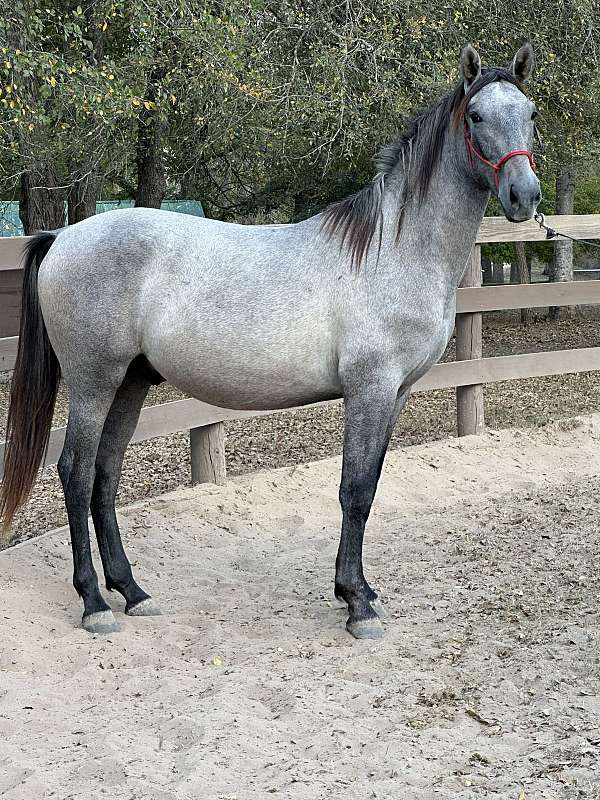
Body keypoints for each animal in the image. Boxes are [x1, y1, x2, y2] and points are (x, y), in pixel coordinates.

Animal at [1, 44, 541, 639]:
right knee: (75, 473)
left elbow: (371, 485)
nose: (524, 196)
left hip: (131, 382)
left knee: (104, 475)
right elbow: (354, 490)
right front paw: (356, 604)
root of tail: (62, 237)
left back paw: (133, 591)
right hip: (94, 380)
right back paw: (95, 603)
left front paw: (361, 590)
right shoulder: (370, 389)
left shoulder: (395, 394)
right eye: (476, 116)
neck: (393, 249)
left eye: (531, 112)